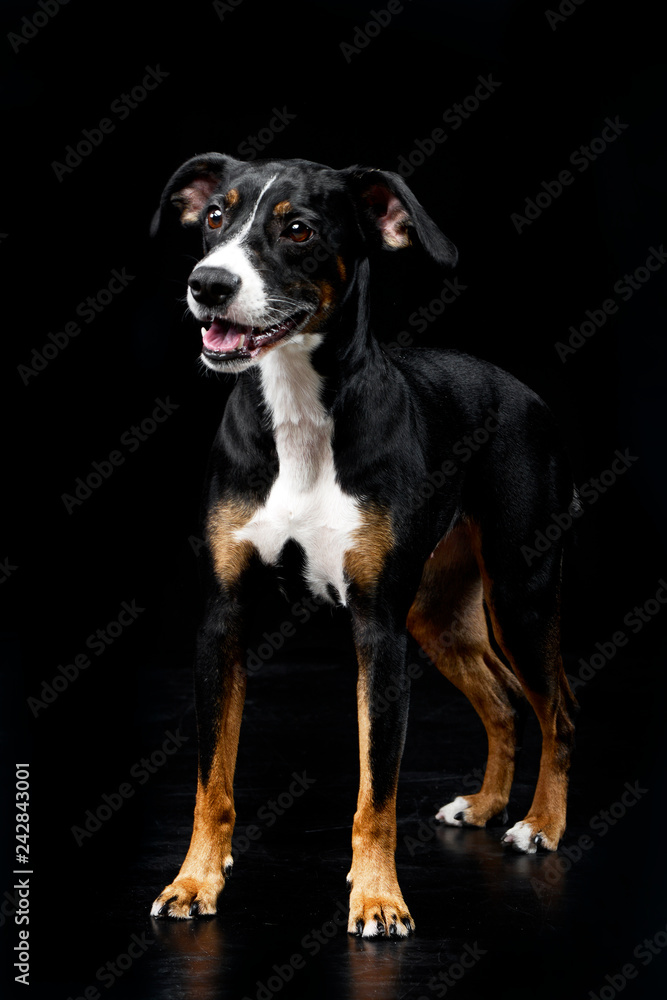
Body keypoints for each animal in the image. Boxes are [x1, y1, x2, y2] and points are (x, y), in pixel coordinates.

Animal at [149, 154, 576, 936]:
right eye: (216, 217)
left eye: (298, 229)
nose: (209, 284)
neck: (298, 413)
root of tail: (521, 391)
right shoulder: (222, 620)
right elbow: (211, 781)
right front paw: (194, 881)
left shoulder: (378, 630)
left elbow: (376, 793)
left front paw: (377, 897)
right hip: (437, 613)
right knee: (503, 703)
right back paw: (485, 803)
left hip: (520, 592)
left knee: (556, 710)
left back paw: (541, 823)